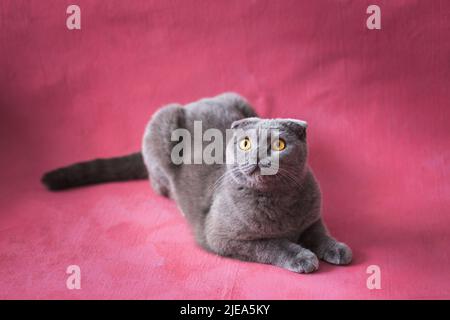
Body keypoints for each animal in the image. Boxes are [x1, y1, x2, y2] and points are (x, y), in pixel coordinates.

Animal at [42, 92, 352, 272]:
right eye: (246, 143)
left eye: (279, 145)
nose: (257, 156)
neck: (278, 200)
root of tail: (196, 102)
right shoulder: (222, 236)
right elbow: (271, 245)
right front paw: (302, 257)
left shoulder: (313, 217)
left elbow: (320, 233)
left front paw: (337, 248)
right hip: (161, 121)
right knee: (156, 182)